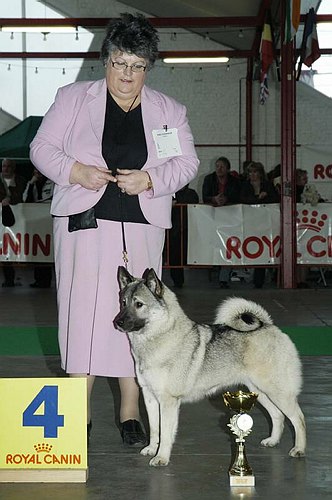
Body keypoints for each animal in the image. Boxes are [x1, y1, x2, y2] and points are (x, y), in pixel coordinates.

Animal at [113, 268, 306, 466]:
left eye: (139, 304)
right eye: (123, 302)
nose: (117, 322)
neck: (161, 336)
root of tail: (269, 326)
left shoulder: (168, 401)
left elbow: (165, 433)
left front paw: (161, 457)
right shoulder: (150, 397)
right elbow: (154, 429)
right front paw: (152, 449)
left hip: (278, 392)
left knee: (298, 418)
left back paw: (299, 449)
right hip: (259, 391)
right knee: (278, 415)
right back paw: (273, 441)